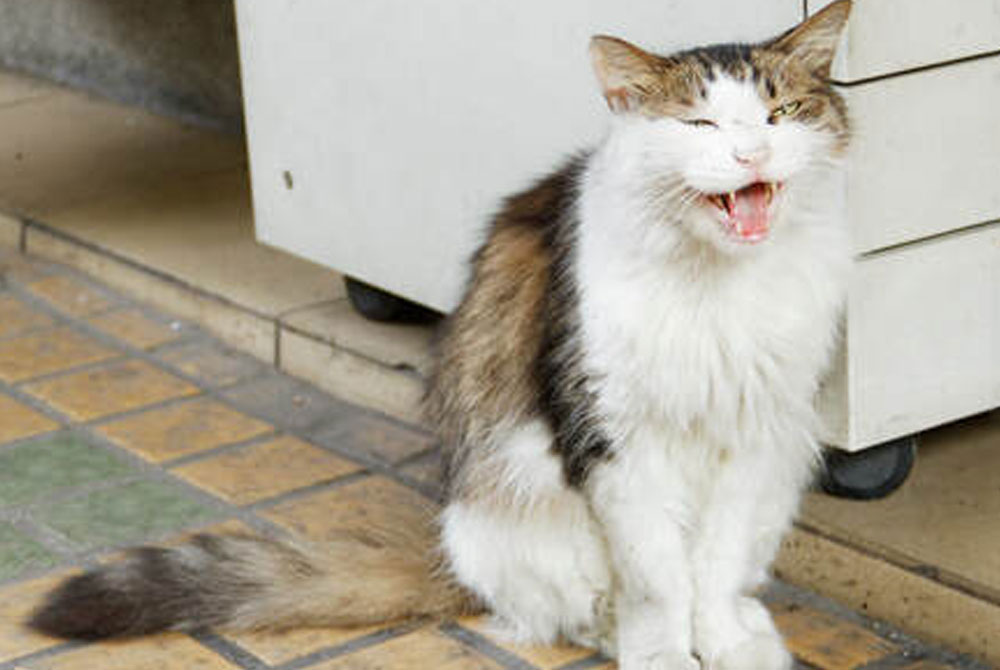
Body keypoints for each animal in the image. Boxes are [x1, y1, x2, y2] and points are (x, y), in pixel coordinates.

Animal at [27, 2, 848, 668]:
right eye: (698, 125)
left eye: (779, 115)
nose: (750, 155)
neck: (717, 286)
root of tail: (450, 553)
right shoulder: (614, 437)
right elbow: (658, 580)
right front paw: (666, 656)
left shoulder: (754, 433)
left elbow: (710, 567)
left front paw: (724, 644)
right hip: (516, 492)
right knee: (569, 609)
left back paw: (751, 630)